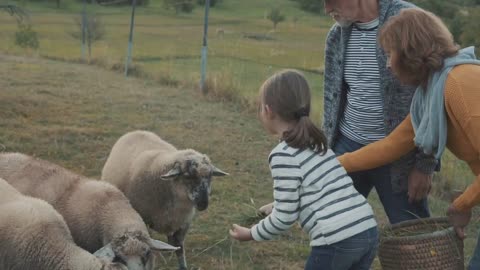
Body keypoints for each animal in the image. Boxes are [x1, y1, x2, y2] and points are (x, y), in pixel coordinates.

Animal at [101, 130, 229, 268]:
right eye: (187, 176)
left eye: (210, 176)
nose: (203, 203)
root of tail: (136, 131)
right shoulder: (144, 221)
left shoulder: (183, 223)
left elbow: (179, 248)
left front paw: (182, 266)